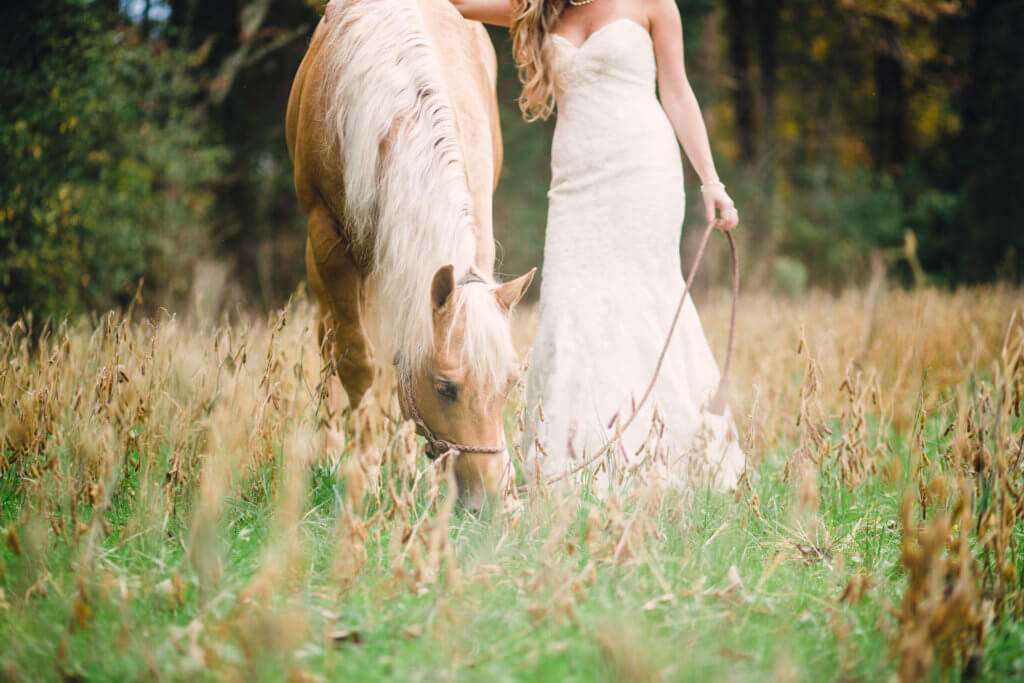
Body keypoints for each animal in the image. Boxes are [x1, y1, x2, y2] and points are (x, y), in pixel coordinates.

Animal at [284, 0, 532, 509]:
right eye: (445, 387)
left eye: (511, 383)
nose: (491, 501)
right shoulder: (327, 238)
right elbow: (356, 360)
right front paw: (363, 475)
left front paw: (399, 472)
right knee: (328, 340)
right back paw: (332, 452)